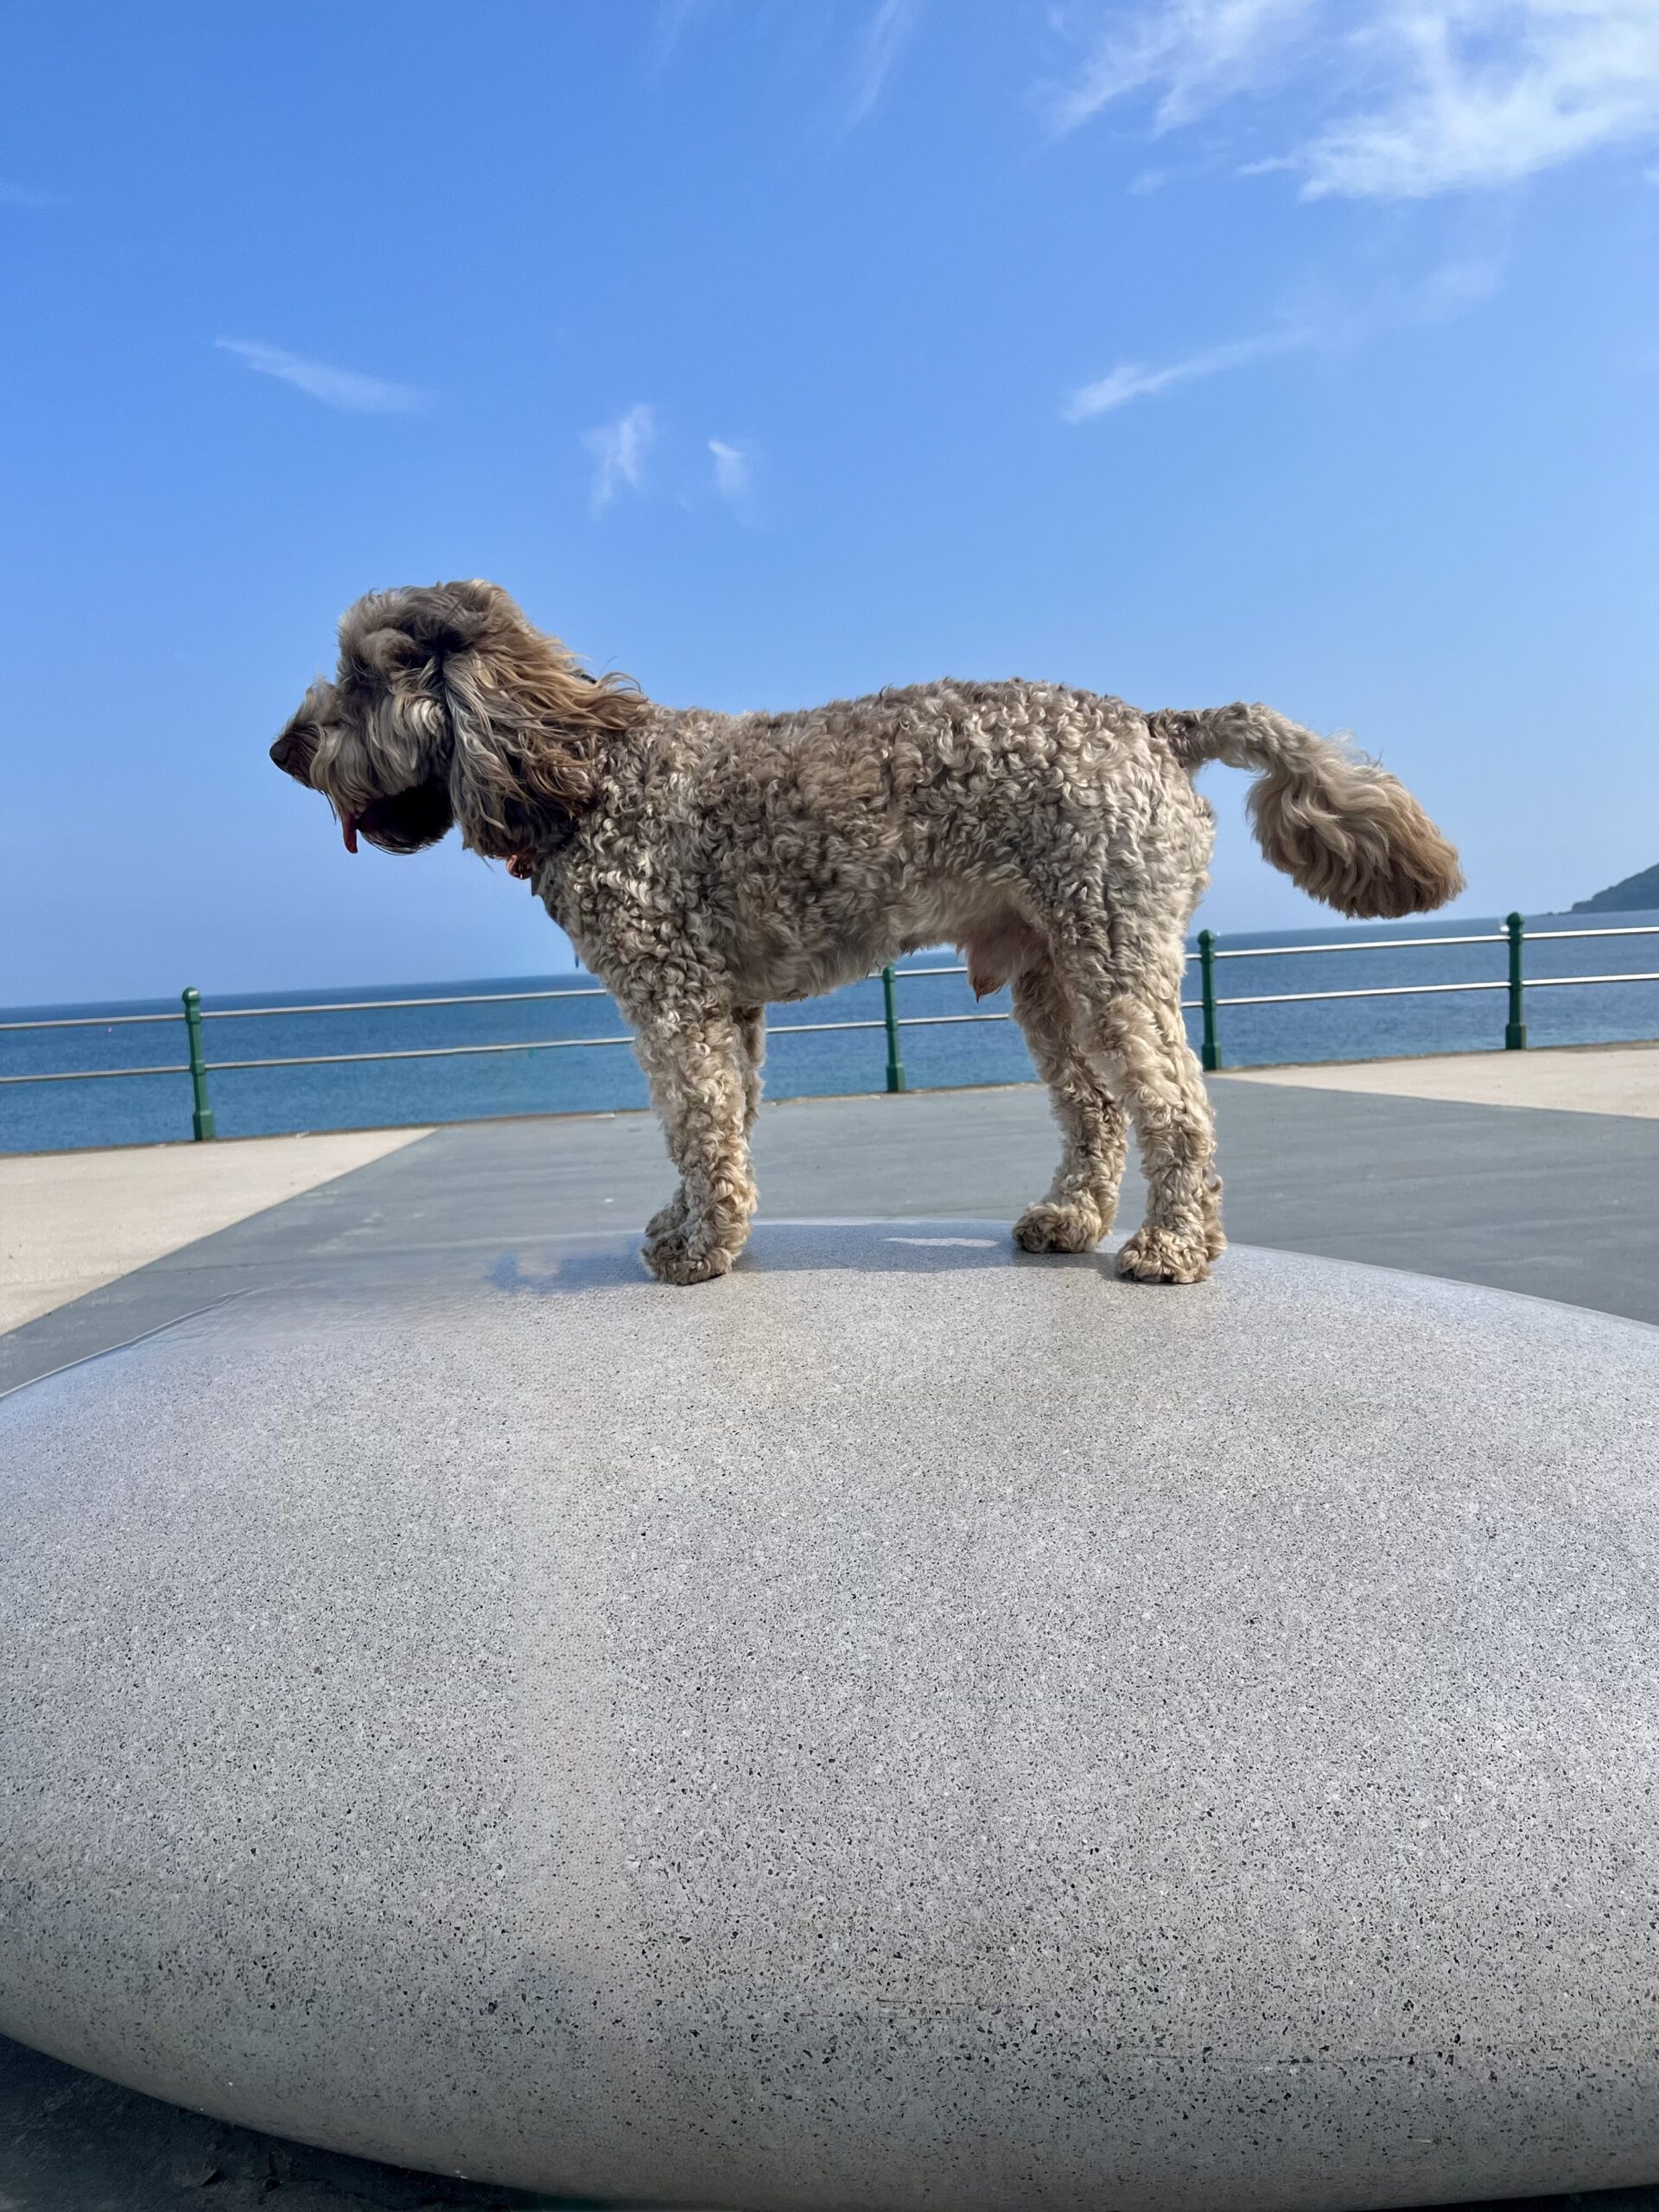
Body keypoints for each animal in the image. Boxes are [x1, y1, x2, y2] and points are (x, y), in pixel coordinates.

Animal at [270, 579, 1462, 1285]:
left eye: (366, 676)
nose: (285, 747)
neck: (584, 771)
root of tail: (1157, 725)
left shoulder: (671, 1002)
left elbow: (698, 1126)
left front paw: (700, 1248)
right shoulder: (726, 1007)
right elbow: (725, 1125)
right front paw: (687, 1224)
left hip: (1115, 949)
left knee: (1175, 1105)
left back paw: (1173, 1244)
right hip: (1051, 976)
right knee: (1094, 1110)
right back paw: (1069, 1220)